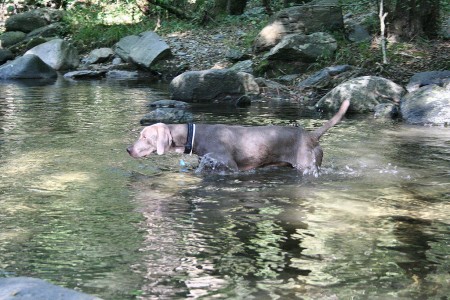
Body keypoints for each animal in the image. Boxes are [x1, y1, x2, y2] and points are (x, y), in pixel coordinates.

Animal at [128, 99, 350, 175]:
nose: (128, 149)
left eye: (145, 137)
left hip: (306, 165)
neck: (195, 135)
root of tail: (312, 135)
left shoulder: (230, 167)